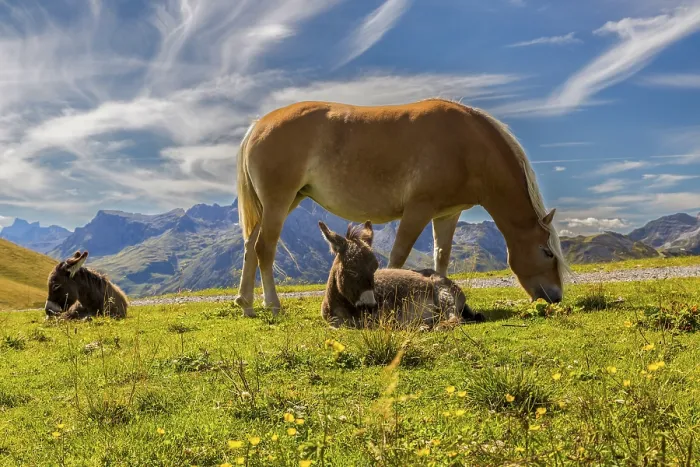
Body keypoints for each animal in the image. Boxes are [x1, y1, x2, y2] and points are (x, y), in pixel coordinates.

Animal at [233, 98, 570, 317]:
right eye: (547, 252)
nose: (555, 297)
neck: (467, 145)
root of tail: (257, 126)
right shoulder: (418, 209)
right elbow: (398, 255)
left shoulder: (447, 214)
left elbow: (441, 257)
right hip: (279, 202)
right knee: (264, 248)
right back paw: (272, 305)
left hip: (284, 202)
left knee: (250, 246)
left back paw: (245, 303)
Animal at [318, 220, 484, 329]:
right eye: (351, 270)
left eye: (375, 269)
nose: (370, 307)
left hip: (443, 293)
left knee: (455, 318)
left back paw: (435, 326)